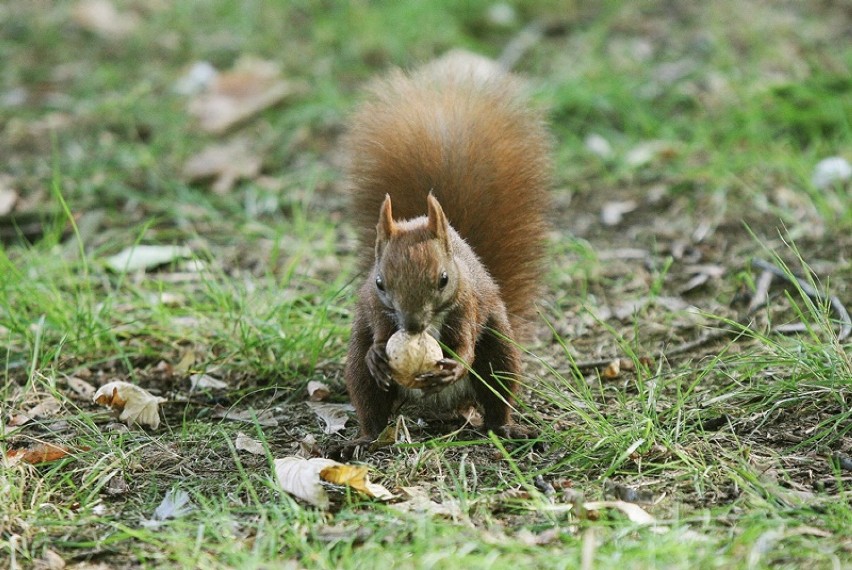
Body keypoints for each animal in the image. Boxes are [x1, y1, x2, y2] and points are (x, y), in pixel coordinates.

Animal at [342, 51, 552, 446]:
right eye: (379, 283)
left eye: (443, 279)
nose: (411, 325)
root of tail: (443, 407)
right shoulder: (374, 306)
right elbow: (378, 329)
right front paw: (378, 353)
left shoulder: (467, 303)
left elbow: (466, 343)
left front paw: (457, 363)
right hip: (358, 371)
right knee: (369, 400)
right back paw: (364, 439)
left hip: (499, 353)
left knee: (496, 392)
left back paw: (505, 427)